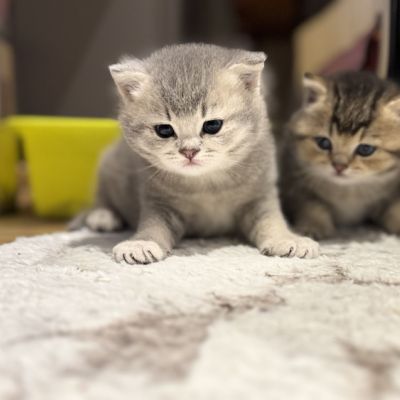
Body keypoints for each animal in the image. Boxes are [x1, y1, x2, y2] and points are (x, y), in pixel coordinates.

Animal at [80, 43, 319, 264]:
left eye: (212, 125)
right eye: (164, 130)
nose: (189, 151)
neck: (207, 185)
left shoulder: (260, 195)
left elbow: (272, 220)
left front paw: (287, 238)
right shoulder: (158, 202)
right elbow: (153, 226)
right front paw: (141, 242)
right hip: (109, 166)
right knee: (102, 195)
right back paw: (103, 215)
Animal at [281, 70, 400, 239]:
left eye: (365, 149)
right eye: (323, 143)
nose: (339, 166)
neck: (347, 192)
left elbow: (395, 208)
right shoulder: (293, 180)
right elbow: (312, 205)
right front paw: (313, 226)